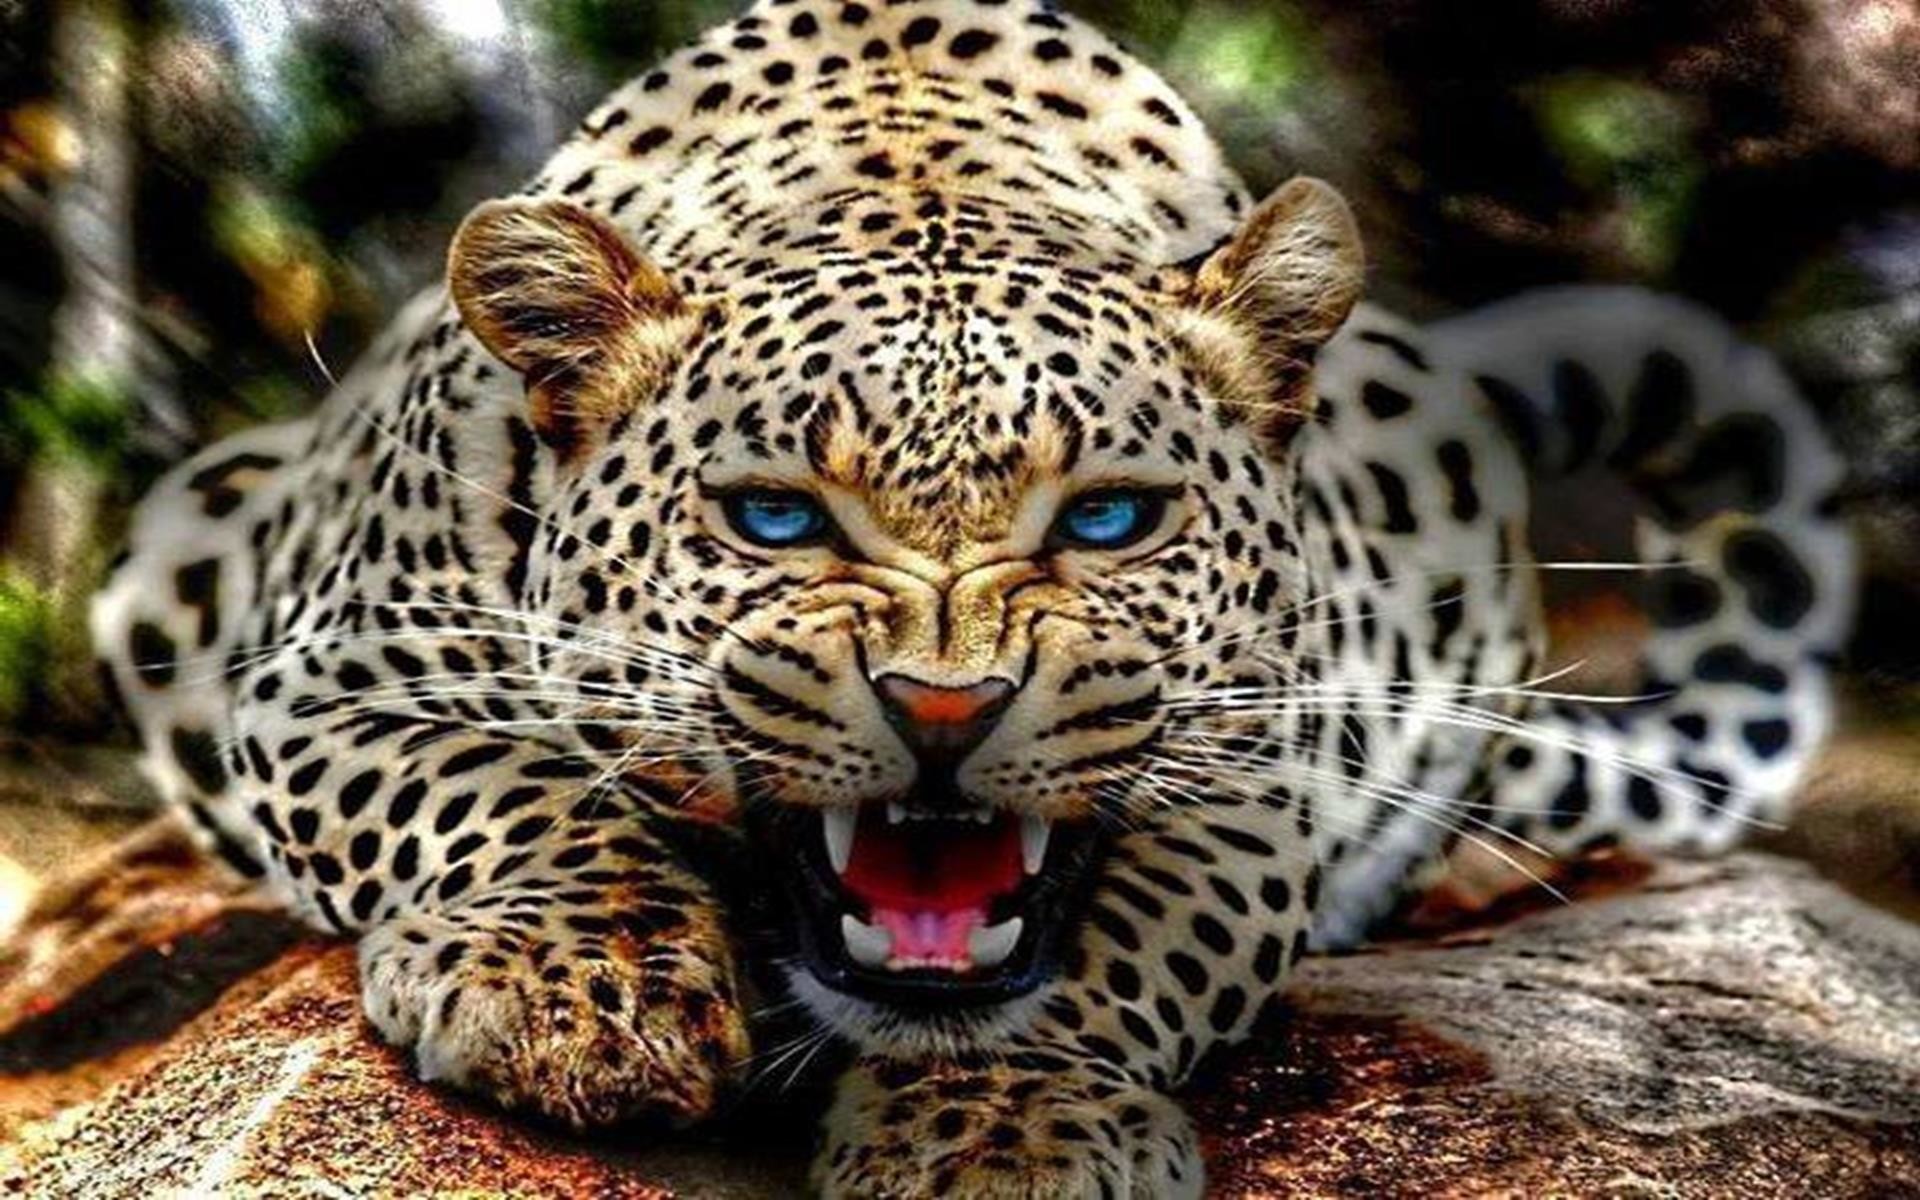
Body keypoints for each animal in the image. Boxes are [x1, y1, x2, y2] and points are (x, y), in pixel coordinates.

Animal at [92, 1, 1854, 1195]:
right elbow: (497, 789)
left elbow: (1127, 940)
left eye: (1112, 518)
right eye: (776, 517)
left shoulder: (1267, 762)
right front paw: (572, 997)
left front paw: (1006, 1126)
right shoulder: (325, 671)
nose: (945, 710)